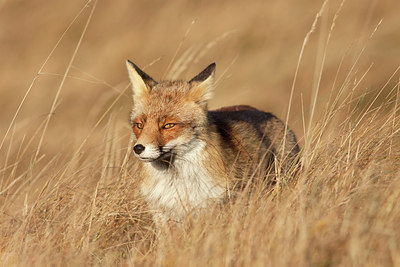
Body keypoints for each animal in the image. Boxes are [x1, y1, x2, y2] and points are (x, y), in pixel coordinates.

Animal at [126, 60, 298, 224]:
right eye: (139, 125)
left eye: (168, 125)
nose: (138, 148)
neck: (177, 182)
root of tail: (271, 115)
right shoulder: (160, 212)